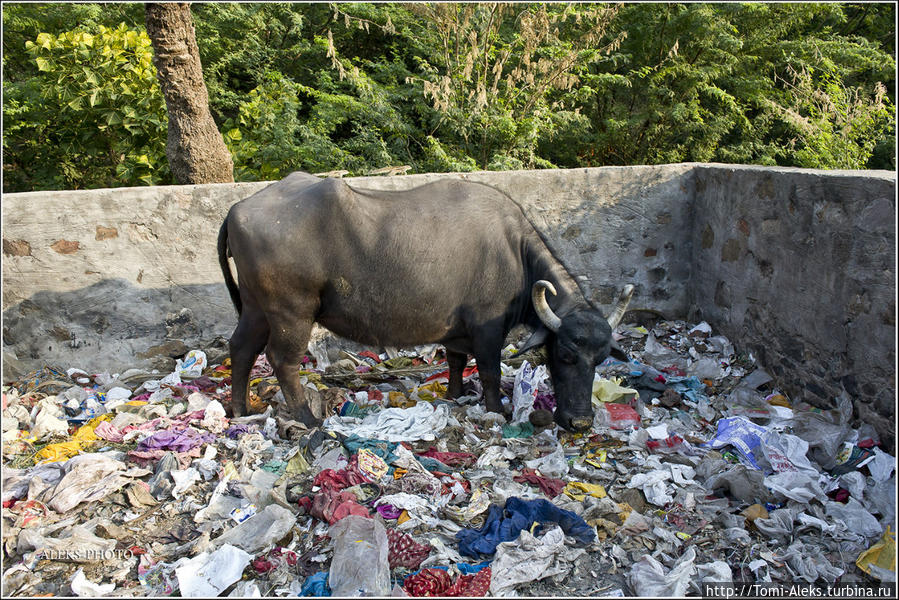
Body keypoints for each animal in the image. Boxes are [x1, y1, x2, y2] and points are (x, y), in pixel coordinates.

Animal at [219, 171, 636, 428]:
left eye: (601, 358)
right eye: (564, 354)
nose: (580, 422)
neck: (514, 252)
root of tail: (238, 208)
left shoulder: (457, 333)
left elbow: (455, 361)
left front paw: (454, 394)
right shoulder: (488, 329)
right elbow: (489, 369)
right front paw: (495, 409)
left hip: (256, 309)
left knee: (241, 348)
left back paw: (240, 410)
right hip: (292, 313)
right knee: (283, 360)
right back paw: (307, 417)